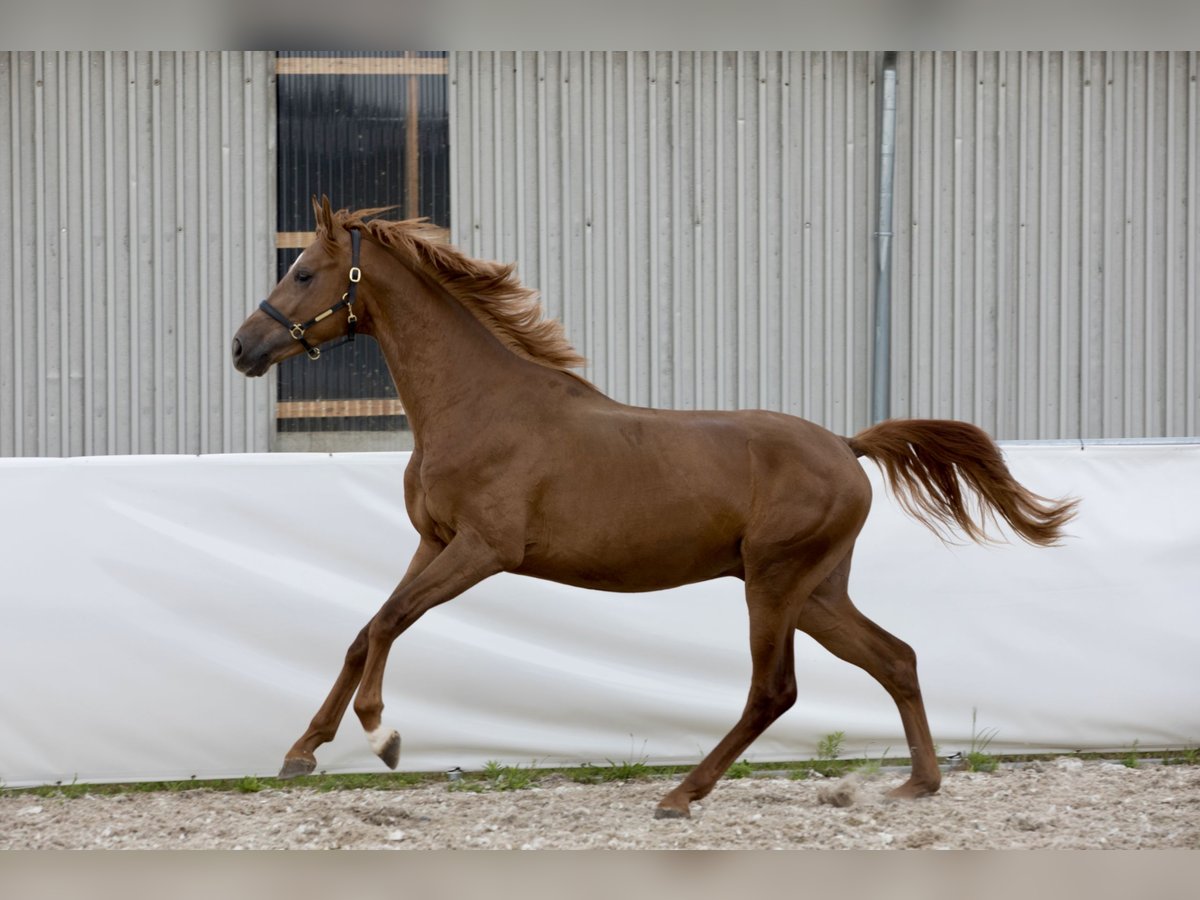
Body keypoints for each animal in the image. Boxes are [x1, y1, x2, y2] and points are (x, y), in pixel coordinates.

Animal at [229, 200, 1075, 820]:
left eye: (304, 271)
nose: (242, 347)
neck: (477, 405)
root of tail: (847, 445)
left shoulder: (482, 549)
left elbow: (389, 623)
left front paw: (385, 737)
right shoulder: (433, 543)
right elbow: (363, 632)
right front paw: (302, 751)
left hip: (775, 583)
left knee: (775, 690)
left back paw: (680, 795)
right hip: (815, 591)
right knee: (895, 657)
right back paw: (917, 783)